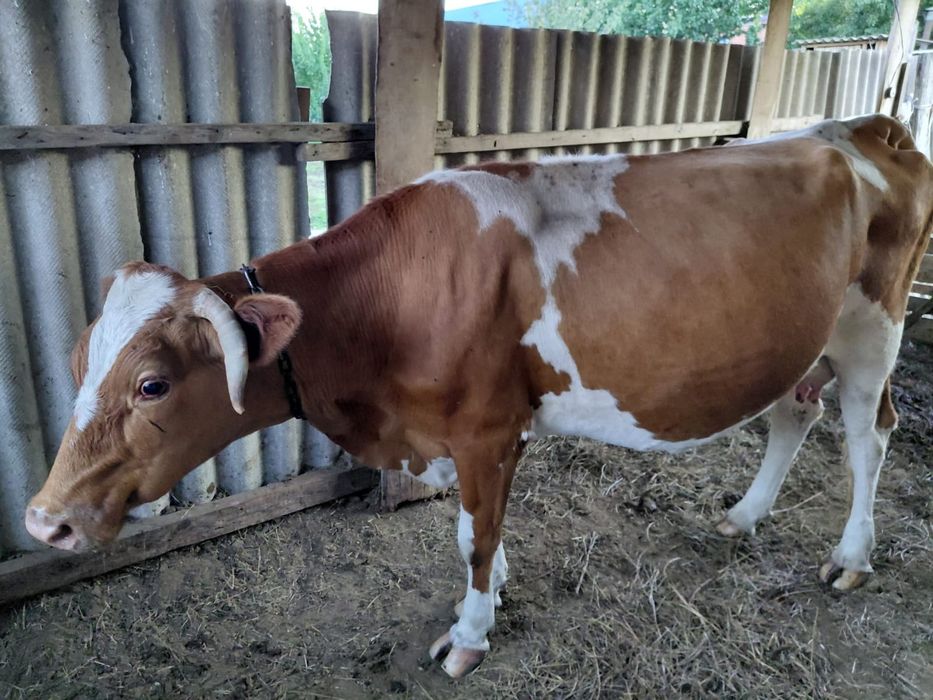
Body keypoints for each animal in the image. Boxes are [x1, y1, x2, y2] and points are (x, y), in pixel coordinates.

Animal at [25, 114, 933, 677]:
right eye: (76, 362)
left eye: (152, 383)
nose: (43, 520)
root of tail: (861, 127)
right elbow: (482, 534)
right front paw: (491, 596)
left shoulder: (486, 430)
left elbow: (473, 536)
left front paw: (468, 634)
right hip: (801, 338)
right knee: (794, 411)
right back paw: (743, 516)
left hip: (872, 326)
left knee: (867, 435)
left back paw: (851, 558)